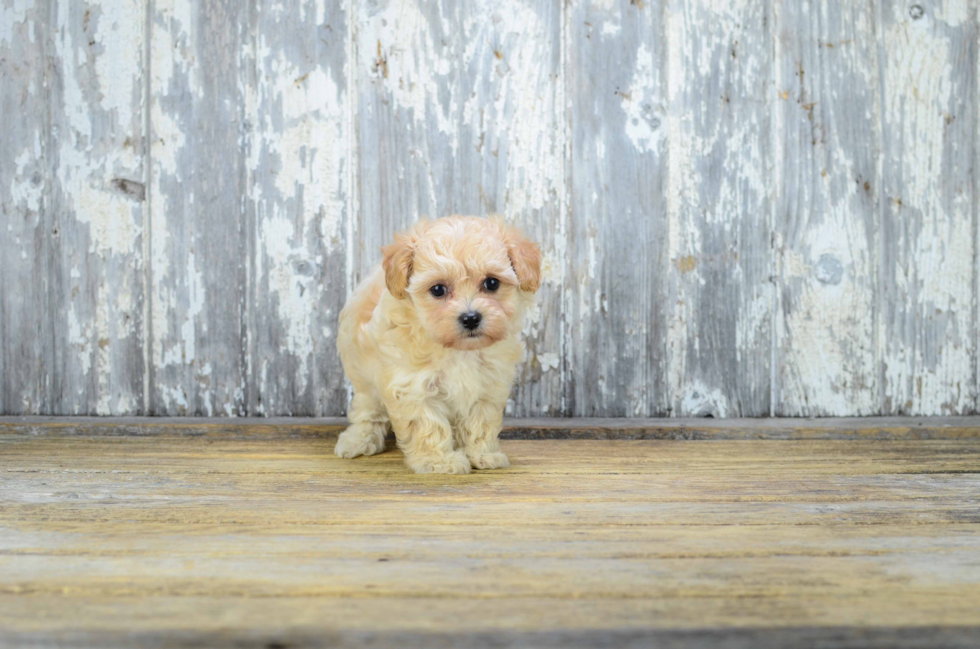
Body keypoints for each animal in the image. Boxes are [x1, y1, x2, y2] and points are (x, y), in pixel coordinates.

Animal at [334, 215, 540, 474]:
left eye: (492, 283)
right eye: (438, 289)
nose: (470, 318)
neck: (459, 350)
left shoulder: (488, 385)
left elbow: (480, 423)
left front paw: (483, 454)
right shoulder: (413, 387)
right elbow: (427, 426)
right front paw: (439, 462)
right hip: (364, 377)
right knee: (368, 411)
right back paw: (359, 440)